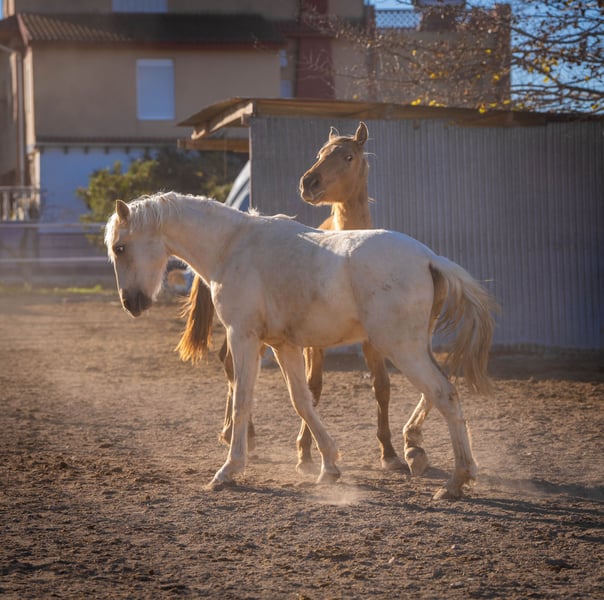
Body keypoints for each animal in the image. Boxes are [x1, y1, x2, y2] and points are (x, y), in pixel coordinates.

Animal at [105, 192, 498, 499]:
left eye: (120, 247)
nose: (130, 303)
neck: (233, 246)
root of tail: (429, 258)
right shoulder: (284, 347)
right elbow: (302, 402)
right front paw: (328, 467)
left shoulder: (243, 337)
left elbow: (243, 400)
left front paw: (228, 470)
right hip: (415, 347)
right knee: (439, 391)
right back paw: (432, 458)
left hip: (402, 348)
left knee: (444, 394)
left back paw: (456, 480)